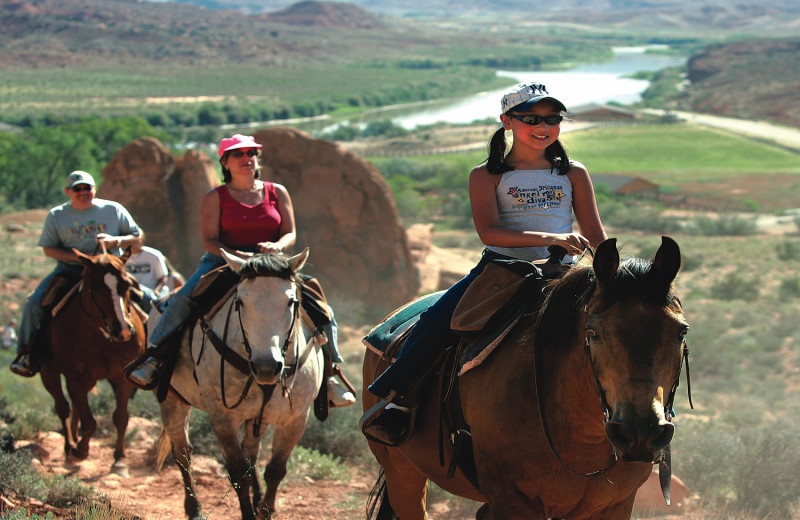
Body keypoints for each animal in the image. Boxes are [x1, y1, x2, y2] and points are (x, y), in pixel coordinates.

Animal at [39, 248, 146, 476]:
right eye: (95, 286)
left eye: (127, 285)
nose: (123, 330)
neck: (100, 336)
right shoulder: (75, 377)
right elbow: (89, 422)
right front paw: (79, 452)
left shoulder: (122, 379)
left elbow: (120, 418)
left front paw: (119, 460)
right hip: (48, 372)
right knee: (63, 407)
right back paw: (69, 449)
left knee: (74, 407)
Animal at [153, 249, 322, 520]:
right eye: (240, 302)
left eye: (291, 301)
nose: (266, 367)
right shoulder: (222, 418)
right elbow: (238, 471)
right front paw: (250, 512)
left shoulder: (295, 419)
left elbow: (275, 470)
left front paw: (264, 510)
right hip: (172, 398)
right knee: (182, 453)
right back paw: (194, 509)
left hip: (258, 417)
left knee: (251, 452)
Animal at [364, 237, 692, 520]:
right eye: (593, 332)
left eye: (681, 332)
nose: (641, 433)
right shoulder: (513, 502)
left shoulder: (614, 506)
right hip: (401, 472)